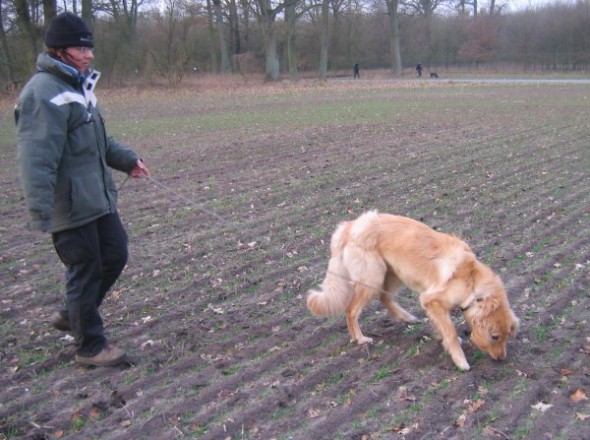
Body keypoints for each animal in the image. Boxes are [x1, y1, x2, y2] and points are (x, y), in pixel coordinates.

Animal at [308, 211, 520, 370]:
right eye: (495, 337)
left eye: (507, 337)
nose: (502, 359)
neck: (472, 281)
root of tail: (349, 226)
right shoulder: (430, 299)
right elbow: (450, 332)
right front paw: (460, 360)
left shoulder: (434, 306)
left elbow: (443, 327)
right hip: (373, 277)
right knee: (351, 310)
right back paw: (360, 339)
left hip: (392, 273)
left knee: (384, 298)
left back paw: (406, 318)